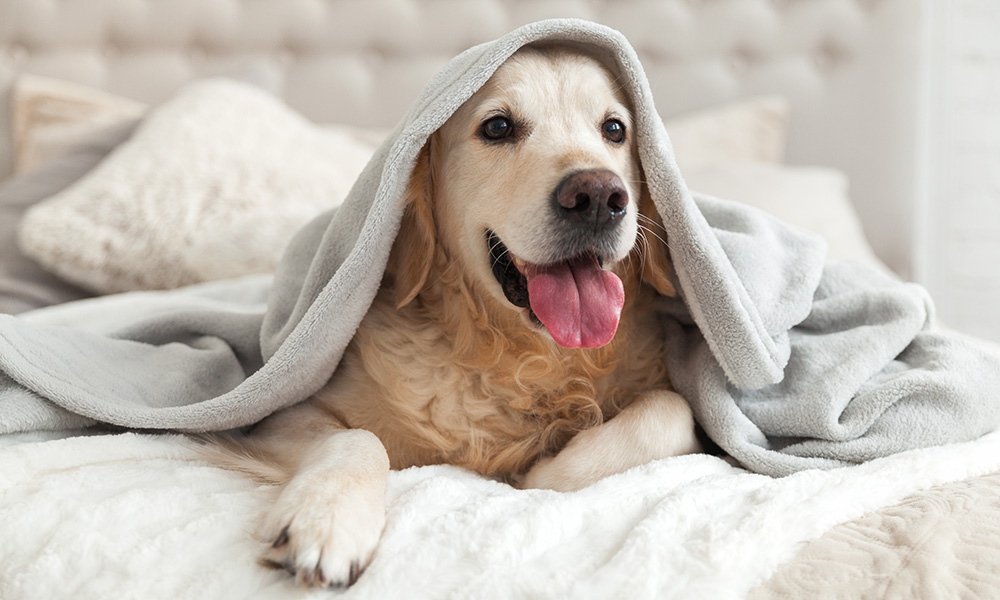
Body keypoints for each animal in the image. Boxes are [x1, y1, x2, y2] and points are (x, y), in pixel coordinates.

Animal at [220, 44, 704, 588]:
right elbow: (357, 436)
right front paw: (325, 517)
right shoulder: (276, 417)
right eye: (498, 127)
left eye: (615, 129)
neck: (521, 358)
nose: (598, 196)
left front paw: (547, 472)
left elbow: (671, 409)